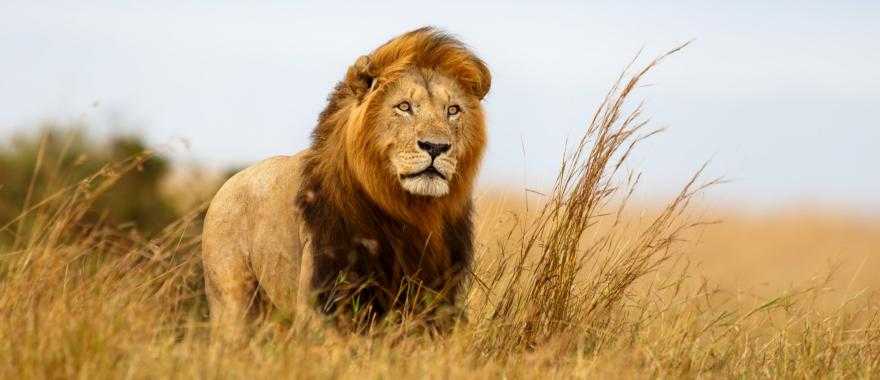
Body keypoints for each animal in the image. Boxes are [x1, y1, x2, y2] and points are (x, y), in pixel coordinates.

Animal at [201, 27, 496, 342]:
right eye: (404, 107)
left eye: (452, 110)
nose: (436, 147)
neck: (412, 212)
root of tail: (226, 186)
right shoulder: (324, 299)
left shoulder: (439, 300)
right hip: (233, 303)